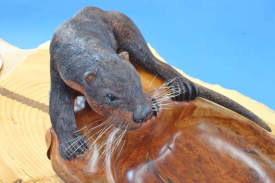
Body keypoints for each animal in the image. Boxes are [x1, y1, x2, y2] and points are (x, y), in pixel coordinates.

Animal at [50, 6, 272, 160]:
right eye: (110, 97)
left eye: (137, 84)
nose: (143, 113)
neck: (81, 44)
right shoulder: (58, 72)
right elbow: (58, 109)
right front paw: (72, 145)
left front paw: (153, 102)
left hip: (128, 29)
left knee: (154, 61)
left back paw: (184, 86)